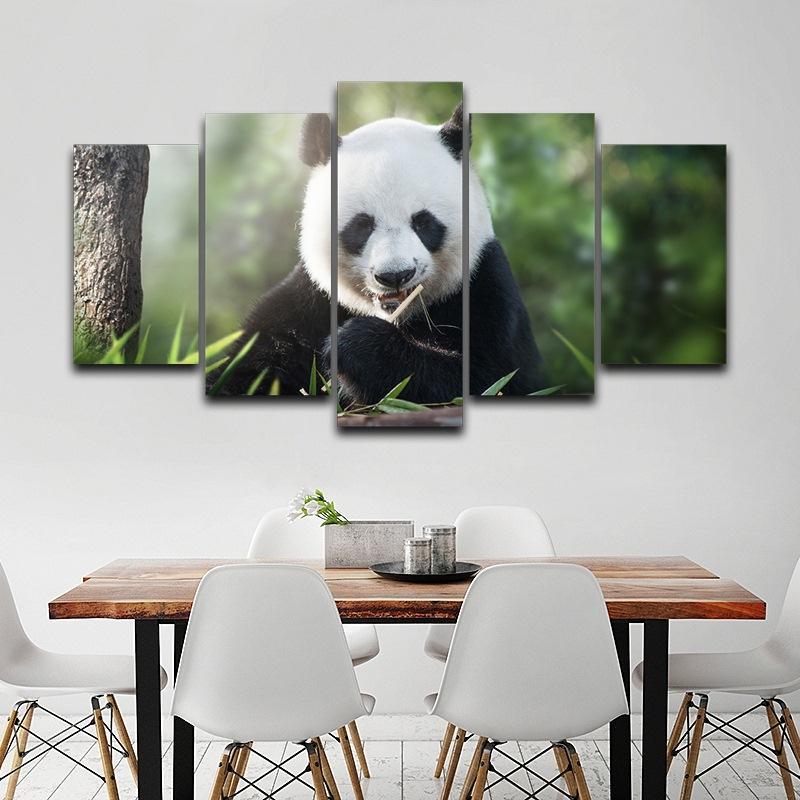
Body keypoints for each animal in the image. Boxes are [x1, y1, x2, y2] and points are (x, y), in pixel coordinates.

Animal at [210, 106, 546, 401]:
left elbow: (487, 378)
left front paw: (355, 346)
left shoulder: (484, 289)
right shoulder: (308, 303)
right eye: (361, 225)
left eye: (424, 222)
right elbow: (248, 368)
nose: (395, 275)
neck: (397, 315)